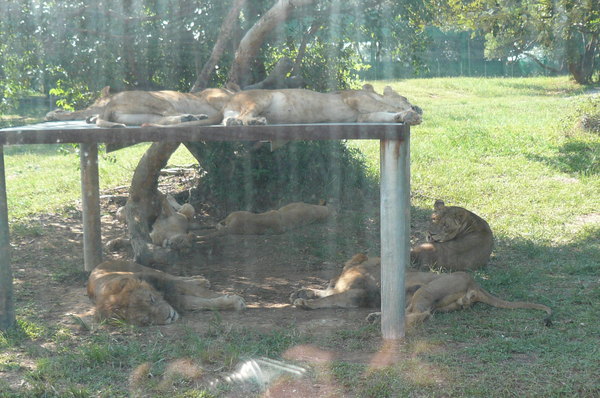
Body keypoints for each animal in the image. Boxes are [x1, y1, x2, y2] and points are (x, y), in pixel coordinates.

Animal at [87, 260, 246, 324]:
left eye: (151, 299)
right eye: (146, 320)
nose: (169, 316)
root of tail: (100, 264)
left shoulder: (167, 283)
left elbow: (204, 294)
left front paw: (235, 300)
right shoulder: (177, 300)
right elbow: (201, 303)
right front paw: (231, 302)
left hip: (147, 269)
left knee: (175, 276)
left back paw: (200, 280)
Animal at [292, 255, 552, 326]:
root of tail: (475, 283)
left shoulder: (358, 295)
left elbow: (330, 298)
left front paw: (305, 302)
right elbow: (326, 292)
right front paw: (301, 292)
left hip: (425, 289)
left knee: (423, 315)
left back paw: (378, 319)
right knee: (415, 312)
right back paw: (377, 316)